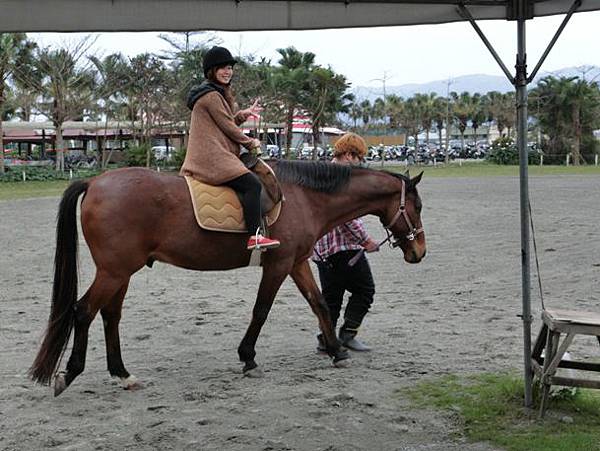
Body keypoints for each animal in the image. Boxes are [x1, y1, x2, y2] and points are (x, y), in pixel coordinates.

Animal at [27, 162, 422, 396]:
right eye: (416, 207)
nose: (419, 251)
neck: (302, 197)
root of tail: (95, 182)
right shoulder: (278, 266)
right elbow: (261, 311)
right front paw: (248, 358)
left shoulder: (297, 263)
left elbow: (320, 303)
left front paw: (338, 351)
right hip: (114, 271)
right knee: (83, 312)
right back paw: (70, 373)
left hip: (120, 272)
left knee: (110, 316)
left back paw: (123, 374)